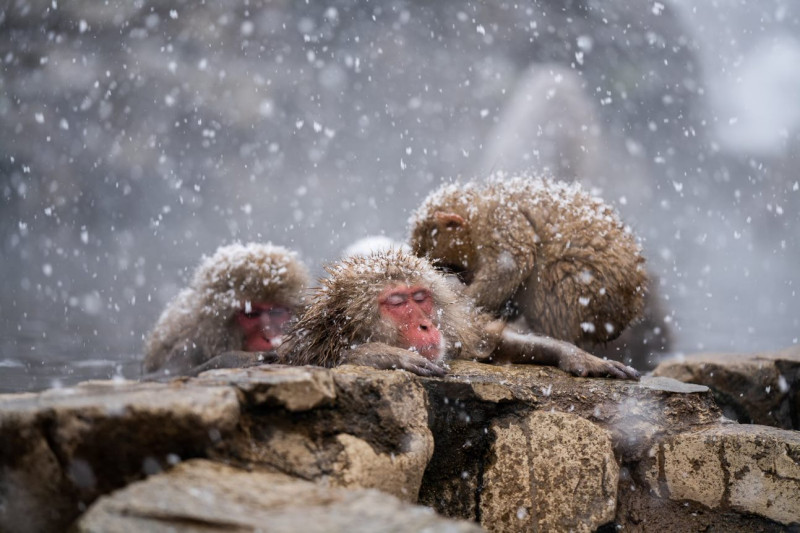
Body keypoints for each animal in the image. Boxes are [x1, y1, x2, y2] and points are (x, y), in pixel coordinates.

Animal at [278, 249, 640, 378]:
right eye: (396, 302)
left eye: (420, 297)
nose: (426, 325)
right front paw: (383, 355)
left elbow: (488, 342)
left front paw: (578, 356)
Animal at [410, 172, 648, 352]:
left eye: (443, 262)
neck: (477, 209)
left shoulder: (499, 220)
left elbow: (511, 265)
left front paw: (467, 300)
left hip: (590, 293)